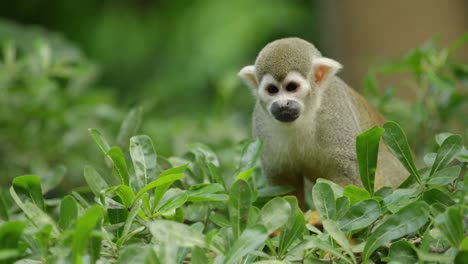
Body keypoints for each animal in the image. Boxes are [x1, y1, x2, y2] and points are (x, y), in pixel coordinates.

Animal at [239, 37, 408, 206]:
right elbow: (284, 184)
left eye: (292, 87)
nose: (282, 105)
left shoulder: (334, 111)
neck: (304, 117)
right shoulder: (262, 122)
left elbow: (349, 176)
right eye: (272, 90)